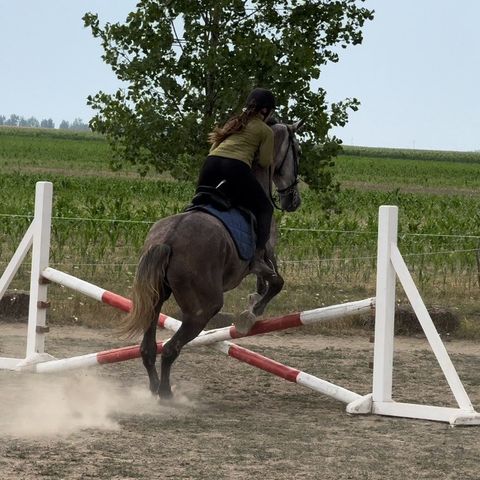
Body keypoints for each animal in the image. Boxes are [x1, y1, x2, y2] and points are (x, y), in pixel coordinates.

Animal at [123, 119, 304, 398]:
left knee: (148, 348)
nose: (293, 200)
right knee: (171, 348)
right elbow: (276, 282)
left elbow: (269, 280)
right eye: (297, 151)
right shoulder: (262, 255)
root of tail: (168, 240)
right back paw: (166, 394)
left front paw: (254, 301)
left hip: (155, 298)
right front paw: (252, 312)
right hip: (204, 308)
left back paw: (154, 389)